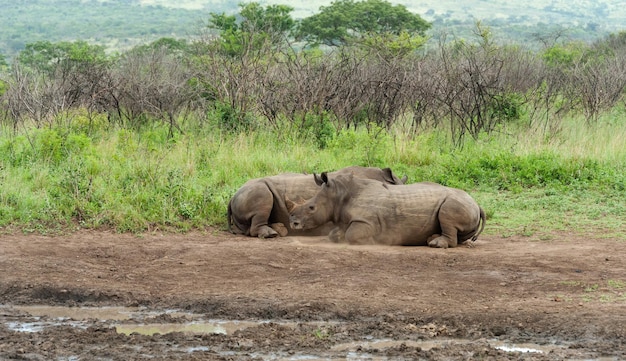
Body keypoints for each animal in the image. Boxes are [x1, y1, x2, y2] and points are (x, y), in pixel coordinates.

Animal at [286, 172, 486, 248]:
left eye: (311, 207)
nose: (293, 223)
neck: (339, 195)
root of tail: (477, 204)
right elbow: (334, 234)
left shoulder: (367, 221)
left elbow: (352, 235)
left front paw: (372, 242)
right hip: (466, 204)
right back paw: (431, 238)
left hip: (457, 202)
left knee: (448, 214)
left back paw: (435, 244)